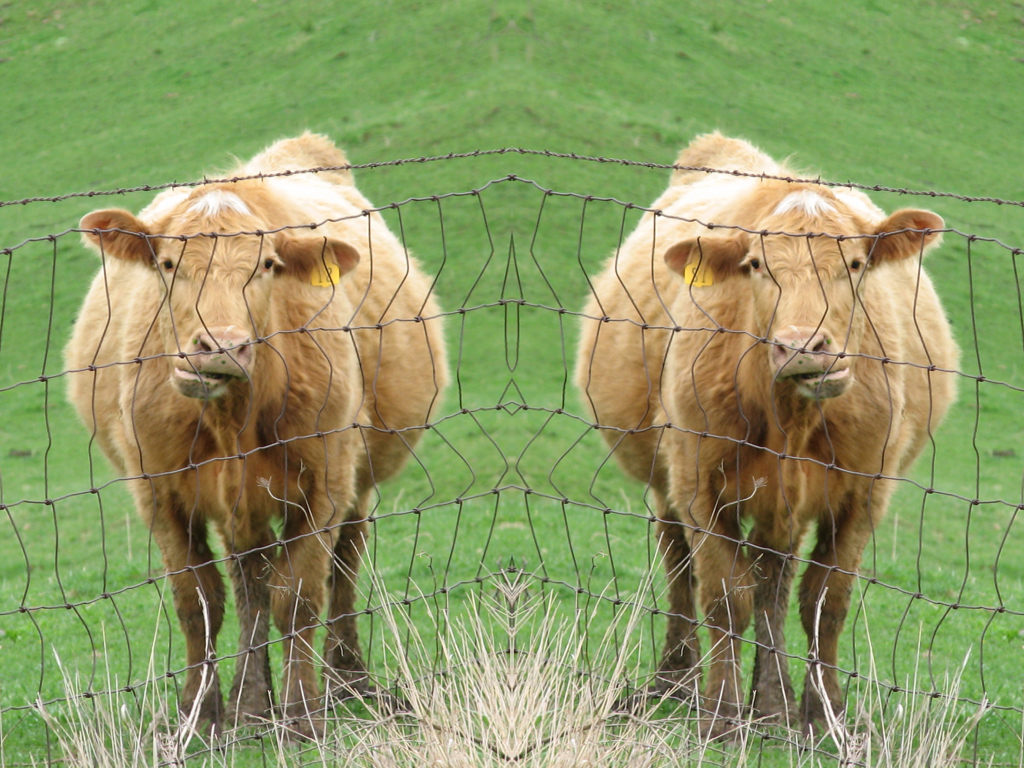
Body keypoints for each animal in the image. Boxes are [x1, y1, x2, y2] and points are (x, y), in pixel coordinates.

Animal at [66, 133, 448, 739]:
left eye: (267, 265)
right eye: (168, 263)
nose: (220, 347)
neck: (232, 418)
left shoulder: (324, 484)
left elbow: (299, 596)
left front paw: (301, 711)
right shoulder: (160, 492)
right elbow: (200, 602)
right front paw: (200, 713)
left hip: (353, 478)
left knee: (342, 565)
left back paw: (347, 681)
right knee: (250, 583)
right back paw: (250, 702)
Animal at [575, 132, 958, 738]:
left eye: (855, 263)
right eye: (756, 264)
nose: (803, 347)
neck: (791, 418)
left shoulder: (863, 492)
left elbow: (824, 602)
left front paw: (823, 713)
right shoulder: (699, 484)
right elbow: (724, 595)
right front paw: (723, 711)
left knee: (773, 583)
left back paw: (773, 702)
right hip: (670, 478)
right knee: (682, 566)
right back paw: (676, 681)